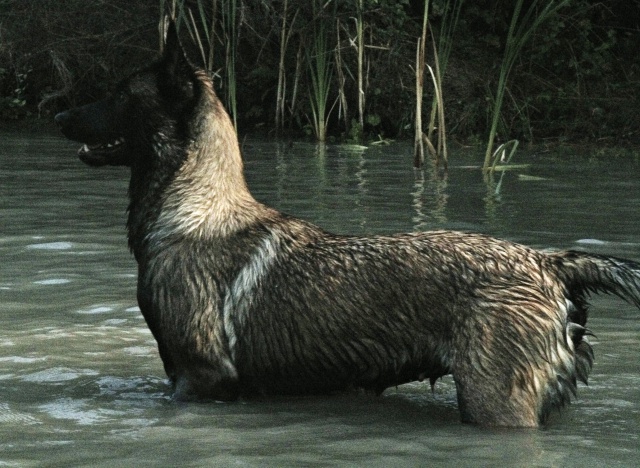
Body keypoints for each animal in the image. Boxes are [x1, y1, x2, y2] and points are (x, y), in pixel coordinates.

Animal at [55, 22, 640, 428]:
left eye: (120, 94)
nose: (58, 116)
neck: (190, 204)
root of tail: (548, 263)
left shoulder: (199, 379)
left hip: (494, 402)